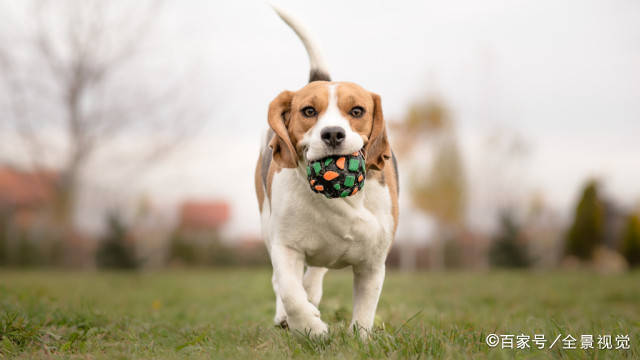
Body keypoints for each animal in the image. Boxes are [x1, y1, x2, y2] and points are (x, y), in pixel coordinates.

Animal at [254, 6, 396, 338]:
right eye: (308, 111)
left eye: (357, 111)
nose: (332, 134)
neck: (339, 202)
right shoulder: (285, 246)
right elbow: (290, 292)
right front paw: (311, 328)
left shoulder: (373, 262)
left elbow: (365, 309)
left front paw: (360, 338)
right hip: (267, 224)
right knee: (282, 282)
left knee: (315, 272)